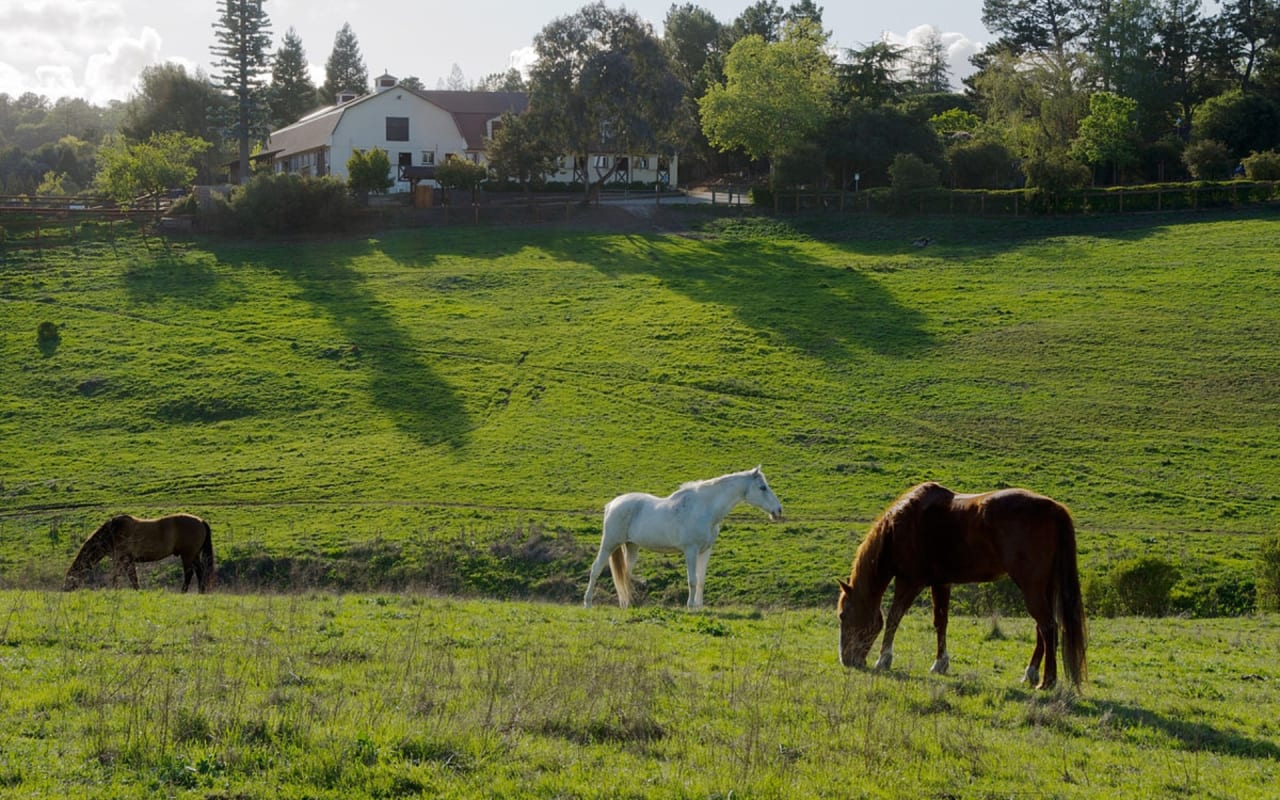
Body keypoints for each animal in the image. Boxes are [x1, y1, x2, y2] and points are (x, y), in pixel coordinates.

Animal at [62, 512, 215, 593]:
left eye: (70, 577)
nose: (65, 589)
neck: (113, 532)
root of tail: (201, 521)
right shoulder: (128, 560)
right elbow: (133, 577)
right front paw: (138, 591)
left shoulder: (121, 559)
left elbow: (116, 575)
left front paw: (114, 589)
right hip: (194, 555)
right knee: (200, 571)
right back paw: (201, 591)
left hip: (187, 555)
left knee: (189, 573)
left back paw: (183, 591)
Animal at [586, 465, 783, 609]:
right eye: (763, 487)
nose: (778, 510)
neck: (704, 508)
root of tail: (611, 504)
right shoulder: (691, 550)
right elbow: (692, 580)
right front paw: (690, 606)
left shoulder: (705, 551)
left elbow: (701, 580)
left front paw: (699, 607)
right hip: (609, 544)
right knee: (596, 569)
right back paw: (588, 603)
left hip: (631, 546)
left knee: (625, 575)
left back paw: (626, 604)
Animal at [839, 483, 1090, 691]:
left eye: (843, 615)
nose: (846, 661)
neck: (900, 527)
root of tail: (1054, 509)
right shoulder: (941, 582)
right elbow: (940, 621)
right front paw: (940, 664)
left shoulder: (909, 581)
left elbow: (894, 618)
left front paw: (884, 659)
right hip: (1044, 587)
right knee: (1042, 629)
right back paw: (1030, 674)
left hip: (1031, 587)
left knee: (1048, 627)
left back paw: (1047, 681)